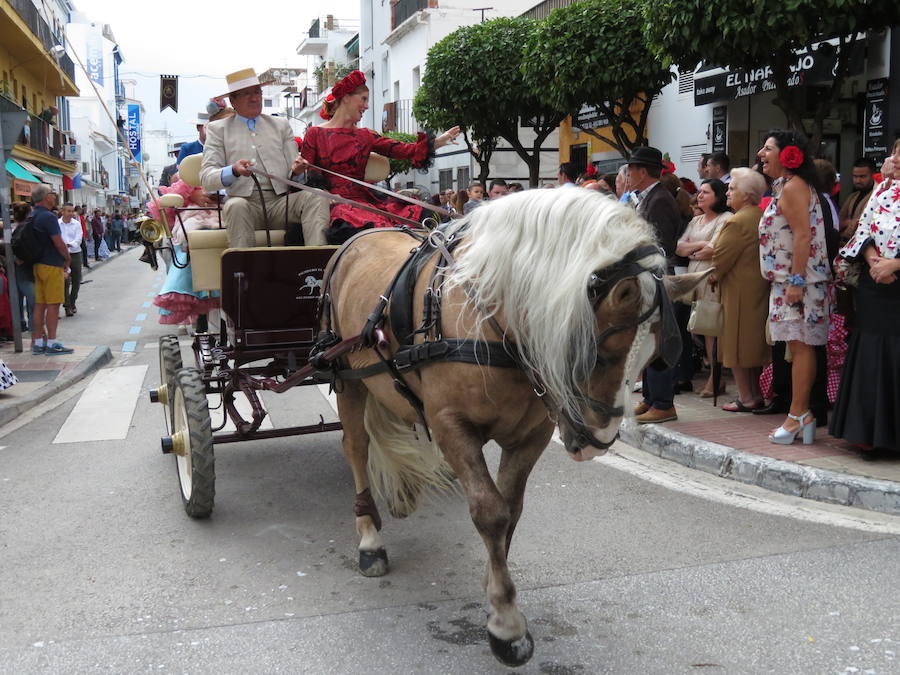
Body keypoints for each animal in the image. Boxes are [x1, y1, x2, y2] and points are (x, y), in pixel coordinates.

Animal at [320, 187, 708, 668]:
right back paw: (370, 537)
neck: (490, 321)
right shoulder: (451, 425)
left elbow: (511, 511)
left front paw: (494, 592)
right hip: (347, 378)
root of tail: (359, 236)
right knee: (356, 446)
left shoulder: (531, 435)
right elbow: (490, 512)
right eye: (597, 356)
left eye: (653, 359)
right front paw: (506, 625)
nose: (596, 442)